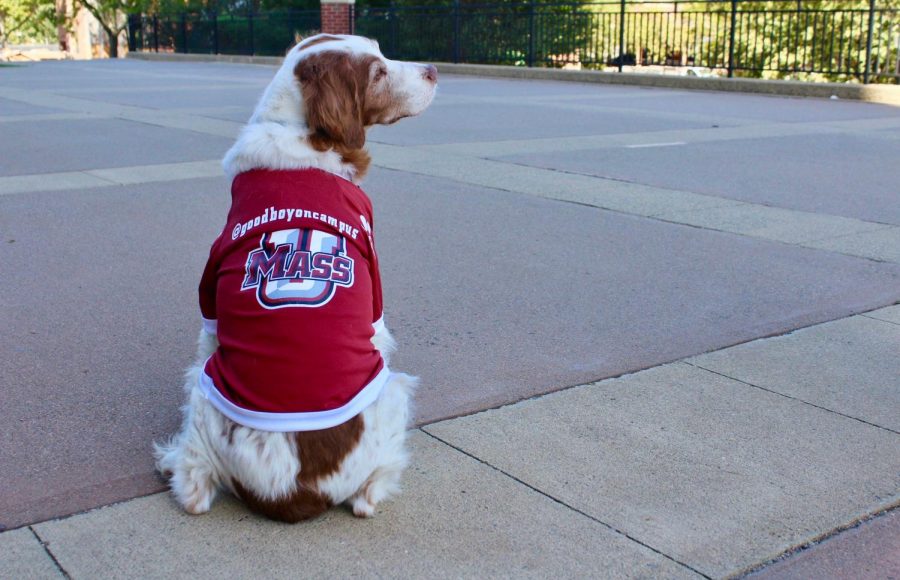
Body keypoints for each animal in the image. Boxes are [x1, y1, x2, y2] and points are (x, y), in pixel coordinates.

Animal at [156, 34, 440, 524]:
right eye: (378, 72)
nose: (434, 71)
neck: (300, 133)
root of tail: (290, 492)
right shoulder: (374, 286)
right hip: (394, 390)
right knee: (365, 500)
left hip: (200, 391)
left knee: (194, 491)